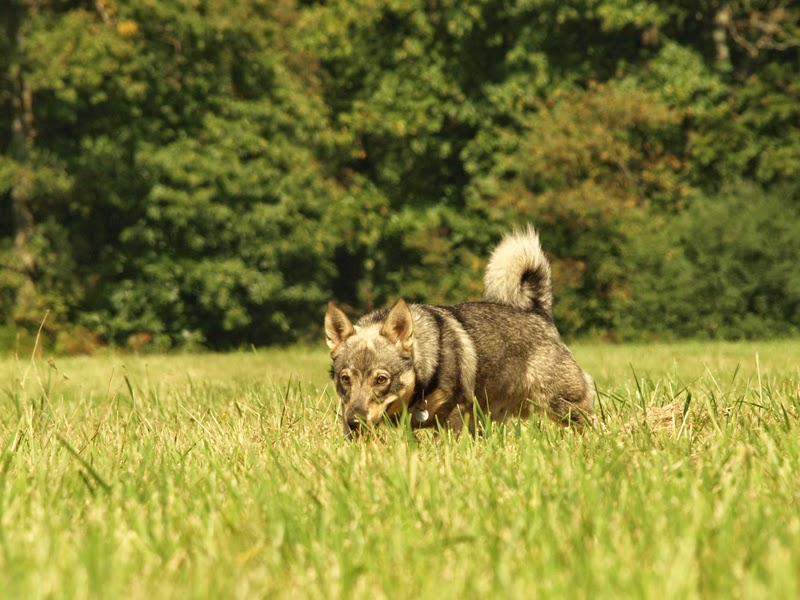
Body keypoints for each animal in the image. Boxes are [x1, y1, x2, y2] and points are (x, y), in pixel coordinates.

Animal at [324, 225, 592, 436]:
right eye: (345, 379)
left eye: (381, 379)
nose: (355, 422)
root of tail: (539, 313)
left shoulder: (453, 414)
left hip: (563, 405)